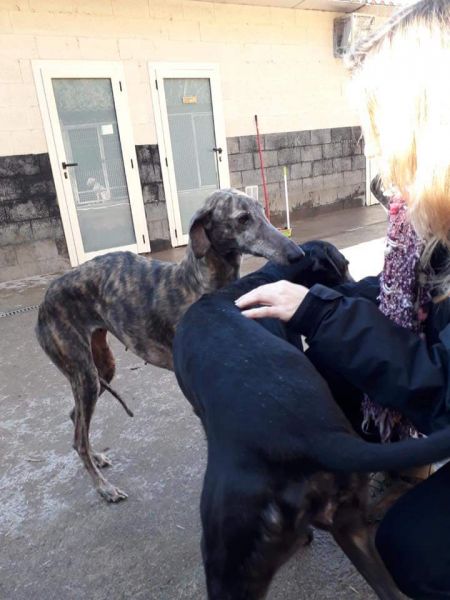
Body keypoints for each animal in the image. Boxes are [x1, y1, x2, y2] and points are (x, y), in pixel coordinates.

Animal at [35, 189, 304, 503]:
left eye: (262, 210)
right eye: (242, 218)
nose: (297, 254)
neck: (199, 285)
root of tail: (45, 299)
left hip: (102, 367)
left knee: (75, 418)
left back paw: (96, 457)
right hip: (84, 373)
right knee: (79, 437)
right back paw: (104, 488)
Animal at [173, 251, 450, 600]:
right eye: (342, 266)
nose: (355, 288)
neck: (259, 280)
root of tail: (311, 436)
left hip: (228, 561)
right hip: (351, 528)